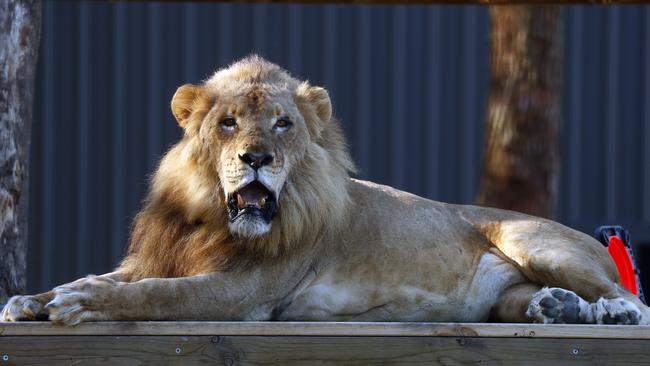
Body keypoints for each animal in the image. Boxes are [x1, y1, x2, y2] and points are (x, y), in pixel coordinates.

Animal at [2, 55, 644, 324]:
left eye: (283, 123)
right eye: (228, 122)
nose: (256, 158)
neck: (208, 216)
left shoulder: (242, 293)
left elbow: (157, 295)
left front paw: (82, 305)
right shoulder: (158, 257)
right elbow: (107, 277)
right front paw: (31, 299)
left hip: (534, 240)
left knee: (637, 300)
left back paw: (609, 312)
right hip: (509, 290)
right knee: (528, 300)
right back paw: (557, 308)